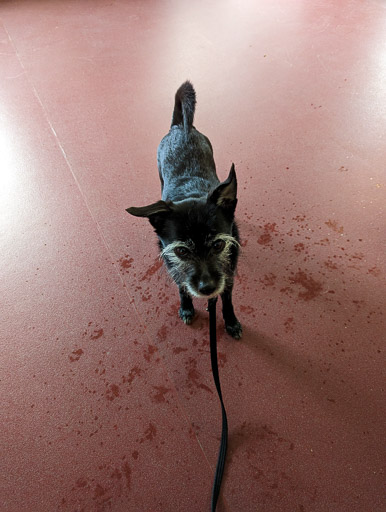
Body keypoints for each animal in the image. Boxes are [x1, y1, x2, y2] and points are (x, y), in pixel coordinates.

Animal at [126, 81, 241, 340]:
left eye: (219, 245)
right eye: (181, 251)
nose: (207, 288)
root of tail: (181, 126)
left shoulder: (228, 276)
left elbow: (227, 300)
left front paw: (230, 321)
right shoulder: (177, 271)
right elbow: (182, 288)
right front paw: (187, 307)